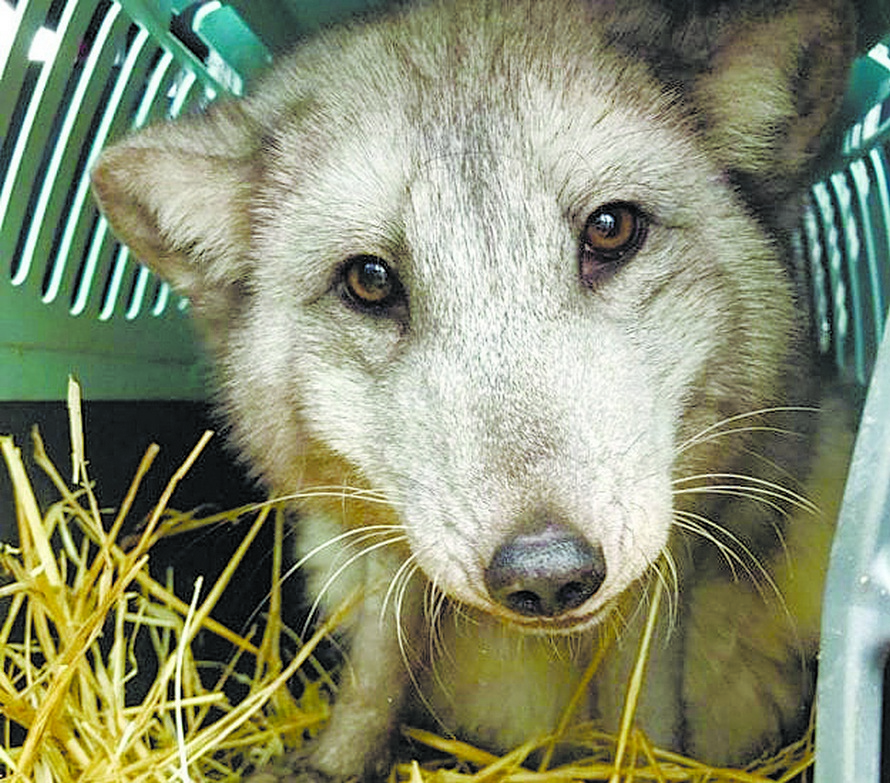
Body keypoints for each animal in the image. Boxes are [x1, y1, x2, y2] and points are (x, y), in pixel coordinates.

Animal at [88, 1, 852, 776]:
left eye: (611, 229)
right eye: (370, 280)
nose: (547, 573)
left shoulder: (672, 547)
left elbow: (643, 697)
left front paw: (643, 761)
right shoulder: (390, 551)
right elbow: (376, 666)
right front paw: (337, 760)